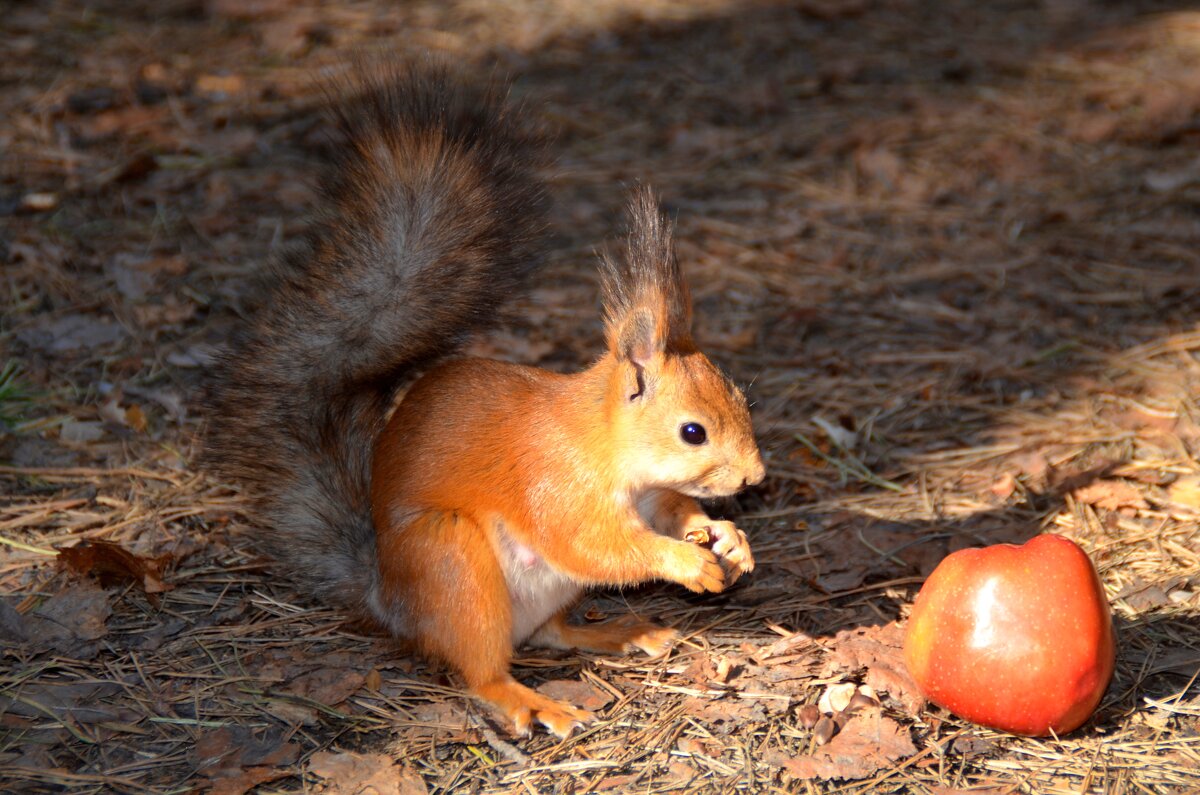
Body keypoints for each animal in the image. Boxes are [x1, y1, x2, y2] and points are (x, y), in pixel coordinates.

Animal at [207, 63, 763, 739]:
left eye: (740, 399)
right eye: (692, 432)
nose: (756, 477)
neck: (605, 446)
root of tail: (388, 598)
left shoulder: (653, 494)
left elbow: (675, 512)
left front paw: (725, 537)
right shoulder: (557, 488)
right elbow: (600, 546)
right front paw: (686, 561)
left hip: (543, 592)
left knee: (550, 635)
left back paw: (621, 633)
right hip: (454, 566)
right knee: (482, 671)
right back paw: (533, 701)